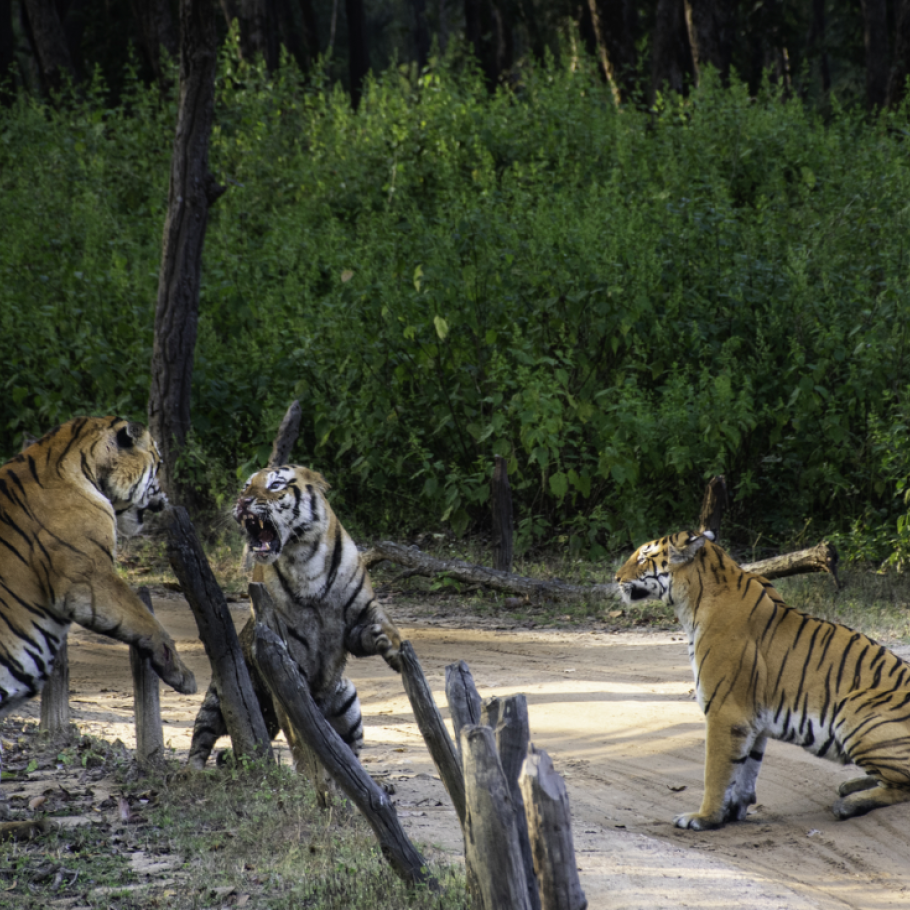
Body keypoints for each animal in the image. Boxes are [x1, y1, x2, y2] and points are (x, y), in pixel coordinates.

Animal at [188, 466, 402, 780]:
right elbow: (300, 738)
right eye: (245, 486)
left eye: (276, 485)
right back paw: (195, 771)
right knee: (201, 741)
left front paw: (392, 647)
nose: (242, 502)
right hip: (219, 697)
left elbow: (384, 622)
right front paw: (307, 778)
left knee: (348, 755)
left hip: (347, 699)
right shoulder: (286, 661)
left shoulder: (359, 617)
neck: (305, 559)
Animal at [612, 532, 910, 832]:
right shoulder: (751, 720)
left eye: (643, 558)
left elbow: (715, 773)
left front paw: (703, 818)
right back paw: (850, 785)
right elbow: (746, 771)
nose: (615, 577)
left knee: (902, 785)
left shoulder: (725, 712)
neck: (692, 600)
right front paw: (733, 811)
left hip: (855, 712)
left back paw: (849, 803)